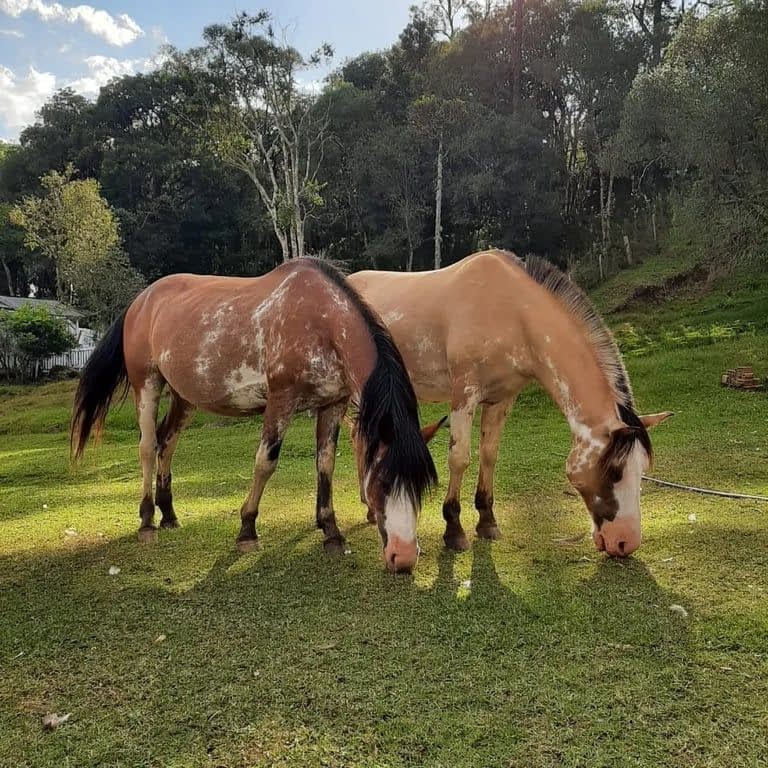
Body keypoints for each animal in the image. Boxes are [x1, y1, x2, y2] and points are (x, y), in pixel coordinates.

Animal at [72, 256, 438, 568]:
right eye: (382, 481)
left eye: (421, 486)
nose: (404, 558)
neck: (321, 323)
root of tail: (140, 301)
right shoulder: (280, 402)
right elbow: (266, 462)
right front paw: (247, 530)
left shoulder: (332, 405)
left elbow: (326, 464)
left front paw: (331, 531)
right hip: (146, 384)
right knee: (148, 447)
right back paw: (147, 520)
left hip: (184, 397)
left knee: (167, 442)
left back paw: (169, 514)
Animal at [348, 252, 672, 560]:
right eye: (615, 472)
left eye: (642, 469)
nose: (625, 542)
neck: (511, 313)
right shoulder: (464, 394)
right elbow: (460, 458)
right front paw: (454, 530)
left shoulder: (501, 399)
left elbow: (489, 455)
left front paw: (487, 522)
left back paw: (369, 505)